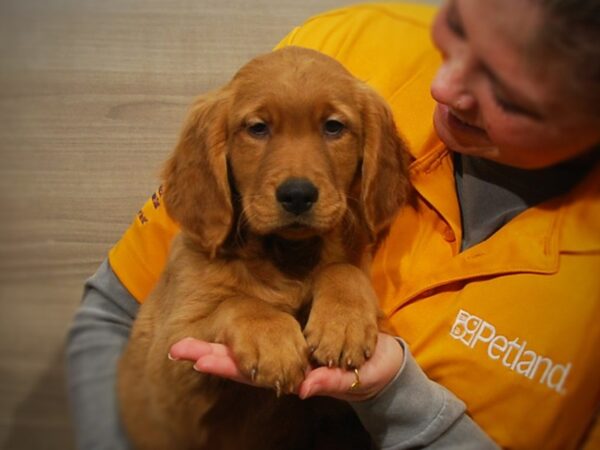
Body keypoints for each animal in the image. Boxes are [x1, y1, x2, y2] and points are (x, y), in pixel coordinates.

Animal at [118, 46, 408, 450]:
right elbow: (239, 302)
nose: (297, 195)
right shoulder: (168, 358)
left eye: (333, 126)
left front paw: (342, 324)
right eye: (258, 128)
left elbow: (342, 269)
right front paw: (274, 342)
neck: (287, 256)